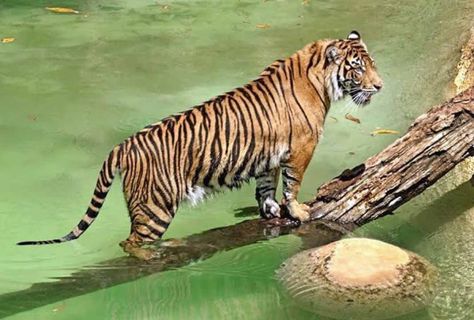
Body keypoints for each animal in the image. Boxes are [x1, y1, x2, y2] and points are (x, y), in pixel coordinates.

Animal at [16, 30, 384, 260]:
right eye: (358, 68)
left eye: (372, 64)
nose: (380, 86)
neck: (320, 79)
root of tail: (123, 145)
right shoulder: (301, 148)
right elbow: (292, 184)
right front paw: (297, 210)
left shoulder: (270, 155)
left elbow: (267, 185)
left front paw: (270, 210)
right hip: (155, 206)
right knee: (130, 241)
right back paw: (153, 256)